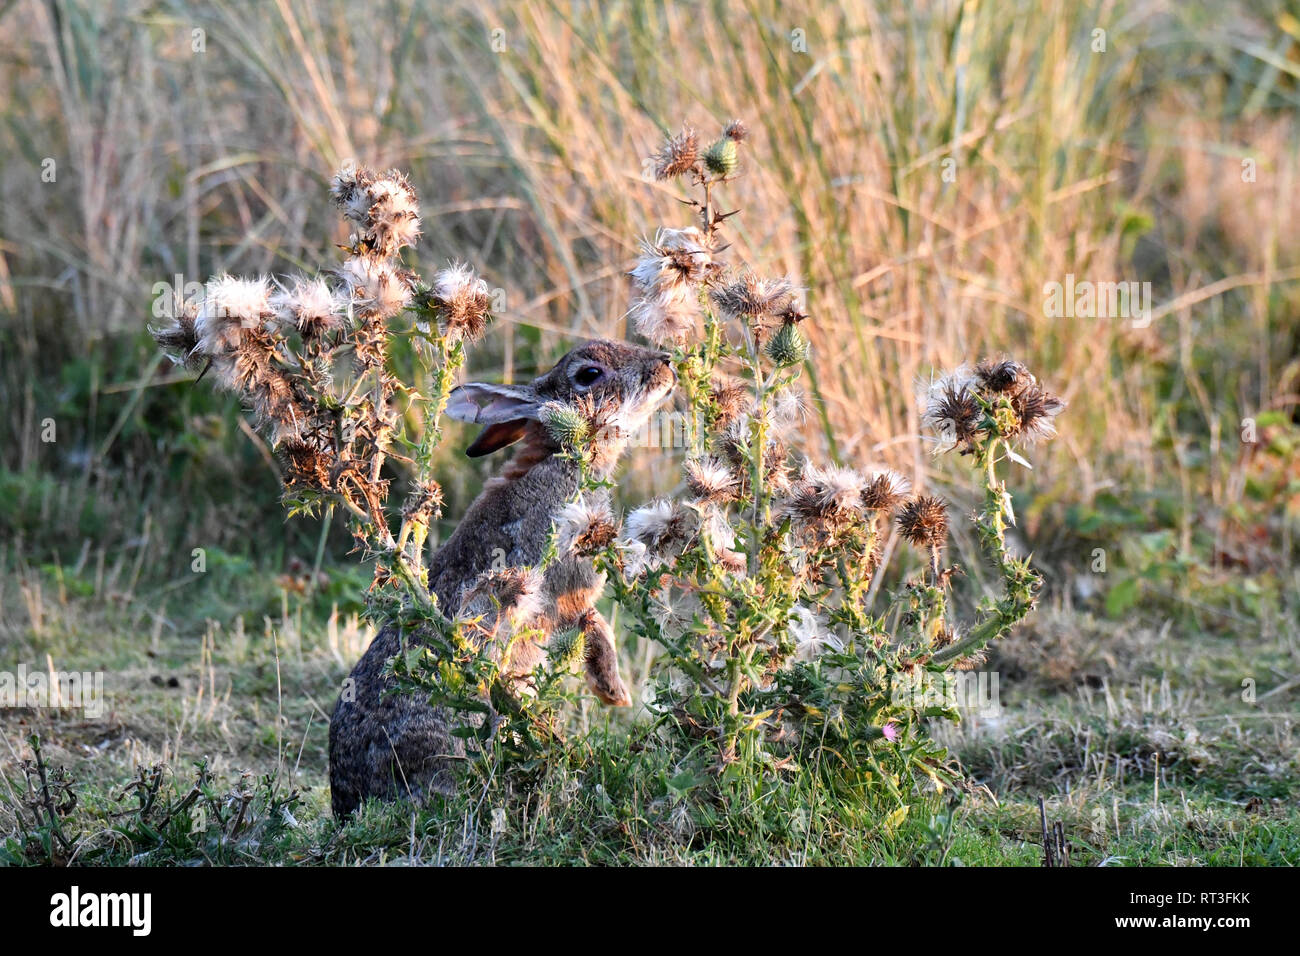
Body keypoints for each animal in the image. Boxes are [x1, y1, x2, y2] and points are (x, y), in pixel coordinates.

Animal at [328, 340, 676, 817]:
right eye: (588, 374)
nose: (667, 364)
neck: (560, 457)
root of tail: (348, 802)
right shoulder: (566, 577)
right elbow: (591, 617)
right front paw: (613, 690)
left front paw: (611, 692)